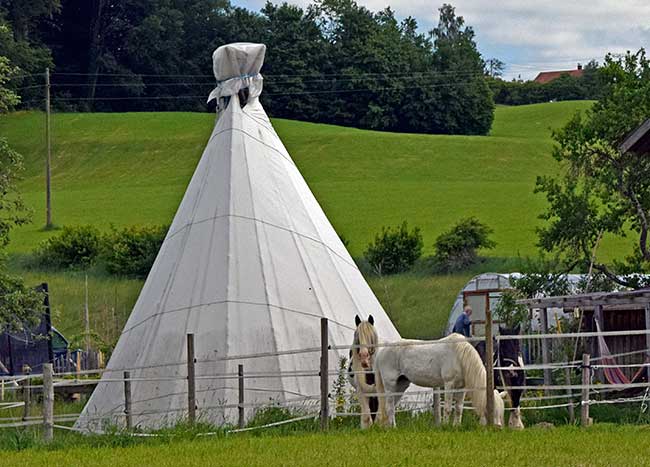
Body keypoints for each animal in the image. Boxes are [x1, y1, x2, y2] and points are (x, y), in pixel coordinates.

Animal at [374, 332, 506, 428]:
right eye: (494, 408)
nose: (498, 427)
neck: (459, 356)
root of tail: (381, 352)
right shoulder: (449, 384)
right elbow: (447, 408)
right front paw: (446, 426)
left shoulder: (462, 387)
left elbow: (459, 408)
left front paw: (456, 426)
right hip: (390, 384)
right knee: (389, 407)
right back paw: (394, 427)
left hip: (401, 385)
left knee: (390, 406)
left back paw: (388, 427)